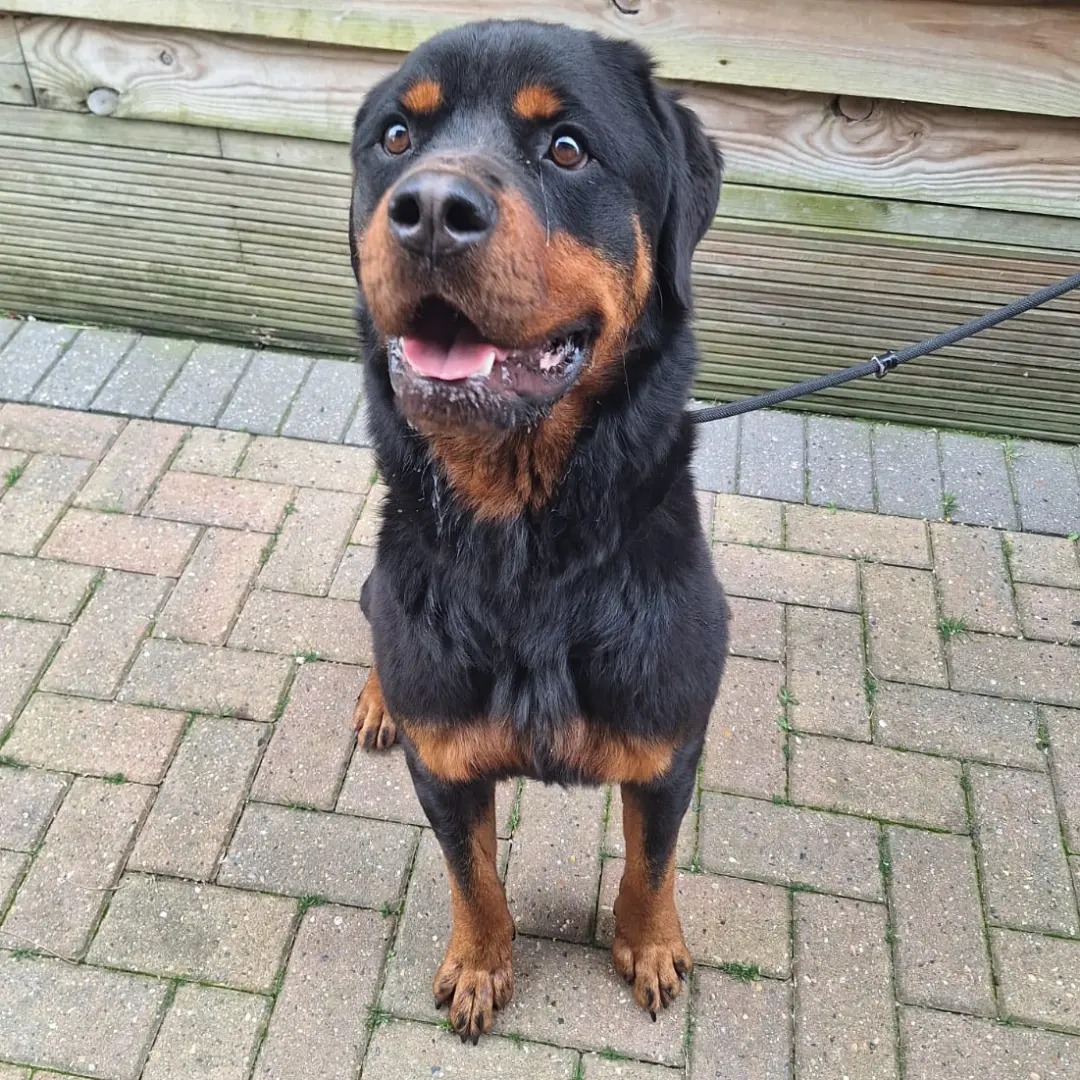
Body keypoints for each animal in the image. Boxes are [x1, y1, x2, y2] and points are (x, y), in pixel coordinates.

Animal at [349, 19, 730, 1045]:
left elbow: (650, 863)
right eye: (396, 137)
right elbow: (472, 875)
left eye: (566, 148)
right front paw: (481, 964)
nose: (430, 211)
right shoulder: (445, 768)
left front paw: (649, 945)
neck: (525, 544)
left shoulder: (668, 750)